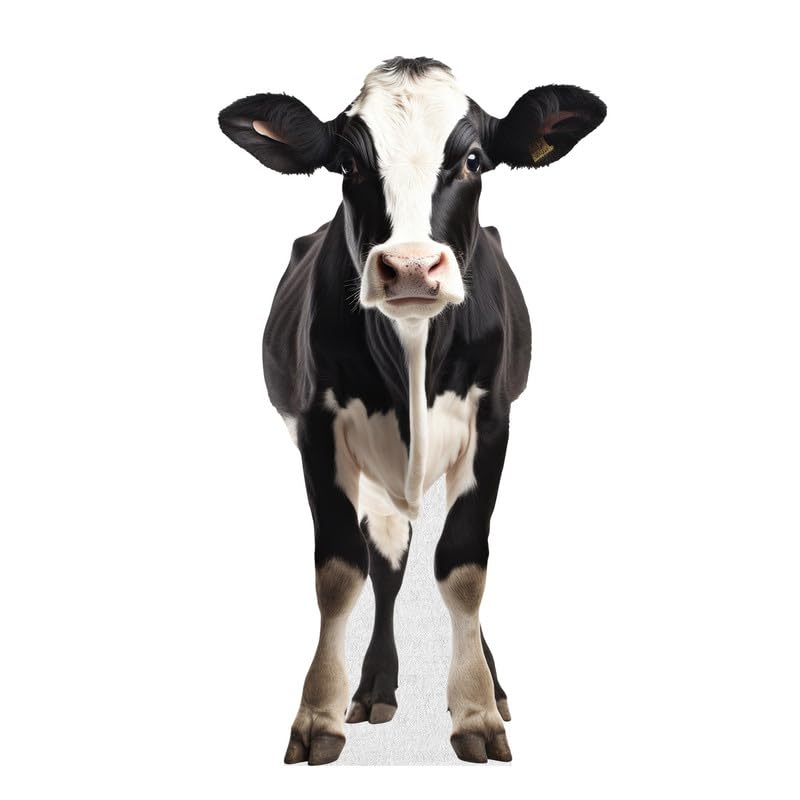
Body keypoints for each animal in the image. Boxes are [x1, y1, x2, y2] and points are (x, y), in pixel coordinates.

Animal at [219, 56, 605, 765]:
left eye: (474, 159)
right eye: (348, 163)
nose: (410, 267)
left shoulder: (493, 422)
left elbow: (464, 565)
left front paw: (477, 709)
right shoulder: (319, 429)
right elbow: (342, 571)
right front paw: (318, 714)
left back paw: (489, 684)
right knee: (388, 567)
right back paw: (376, 688)